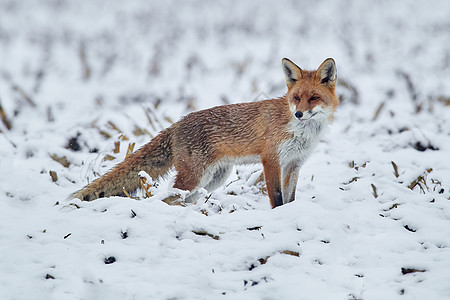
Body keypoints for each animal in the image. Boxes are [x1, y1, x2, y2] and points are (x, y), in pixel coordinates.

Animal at [71, 58, 338, 209]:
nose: (299, 114)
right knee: (168, 198)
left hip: (212, 179)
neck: (300, 132)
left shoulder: (294, 164)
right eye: (296, 98)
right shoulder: (271, 160)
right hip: (194, 176)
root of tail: (176, 125)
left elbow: (290, 198)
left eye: (314, 98)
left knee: (182, 199)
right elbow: (277, 197)